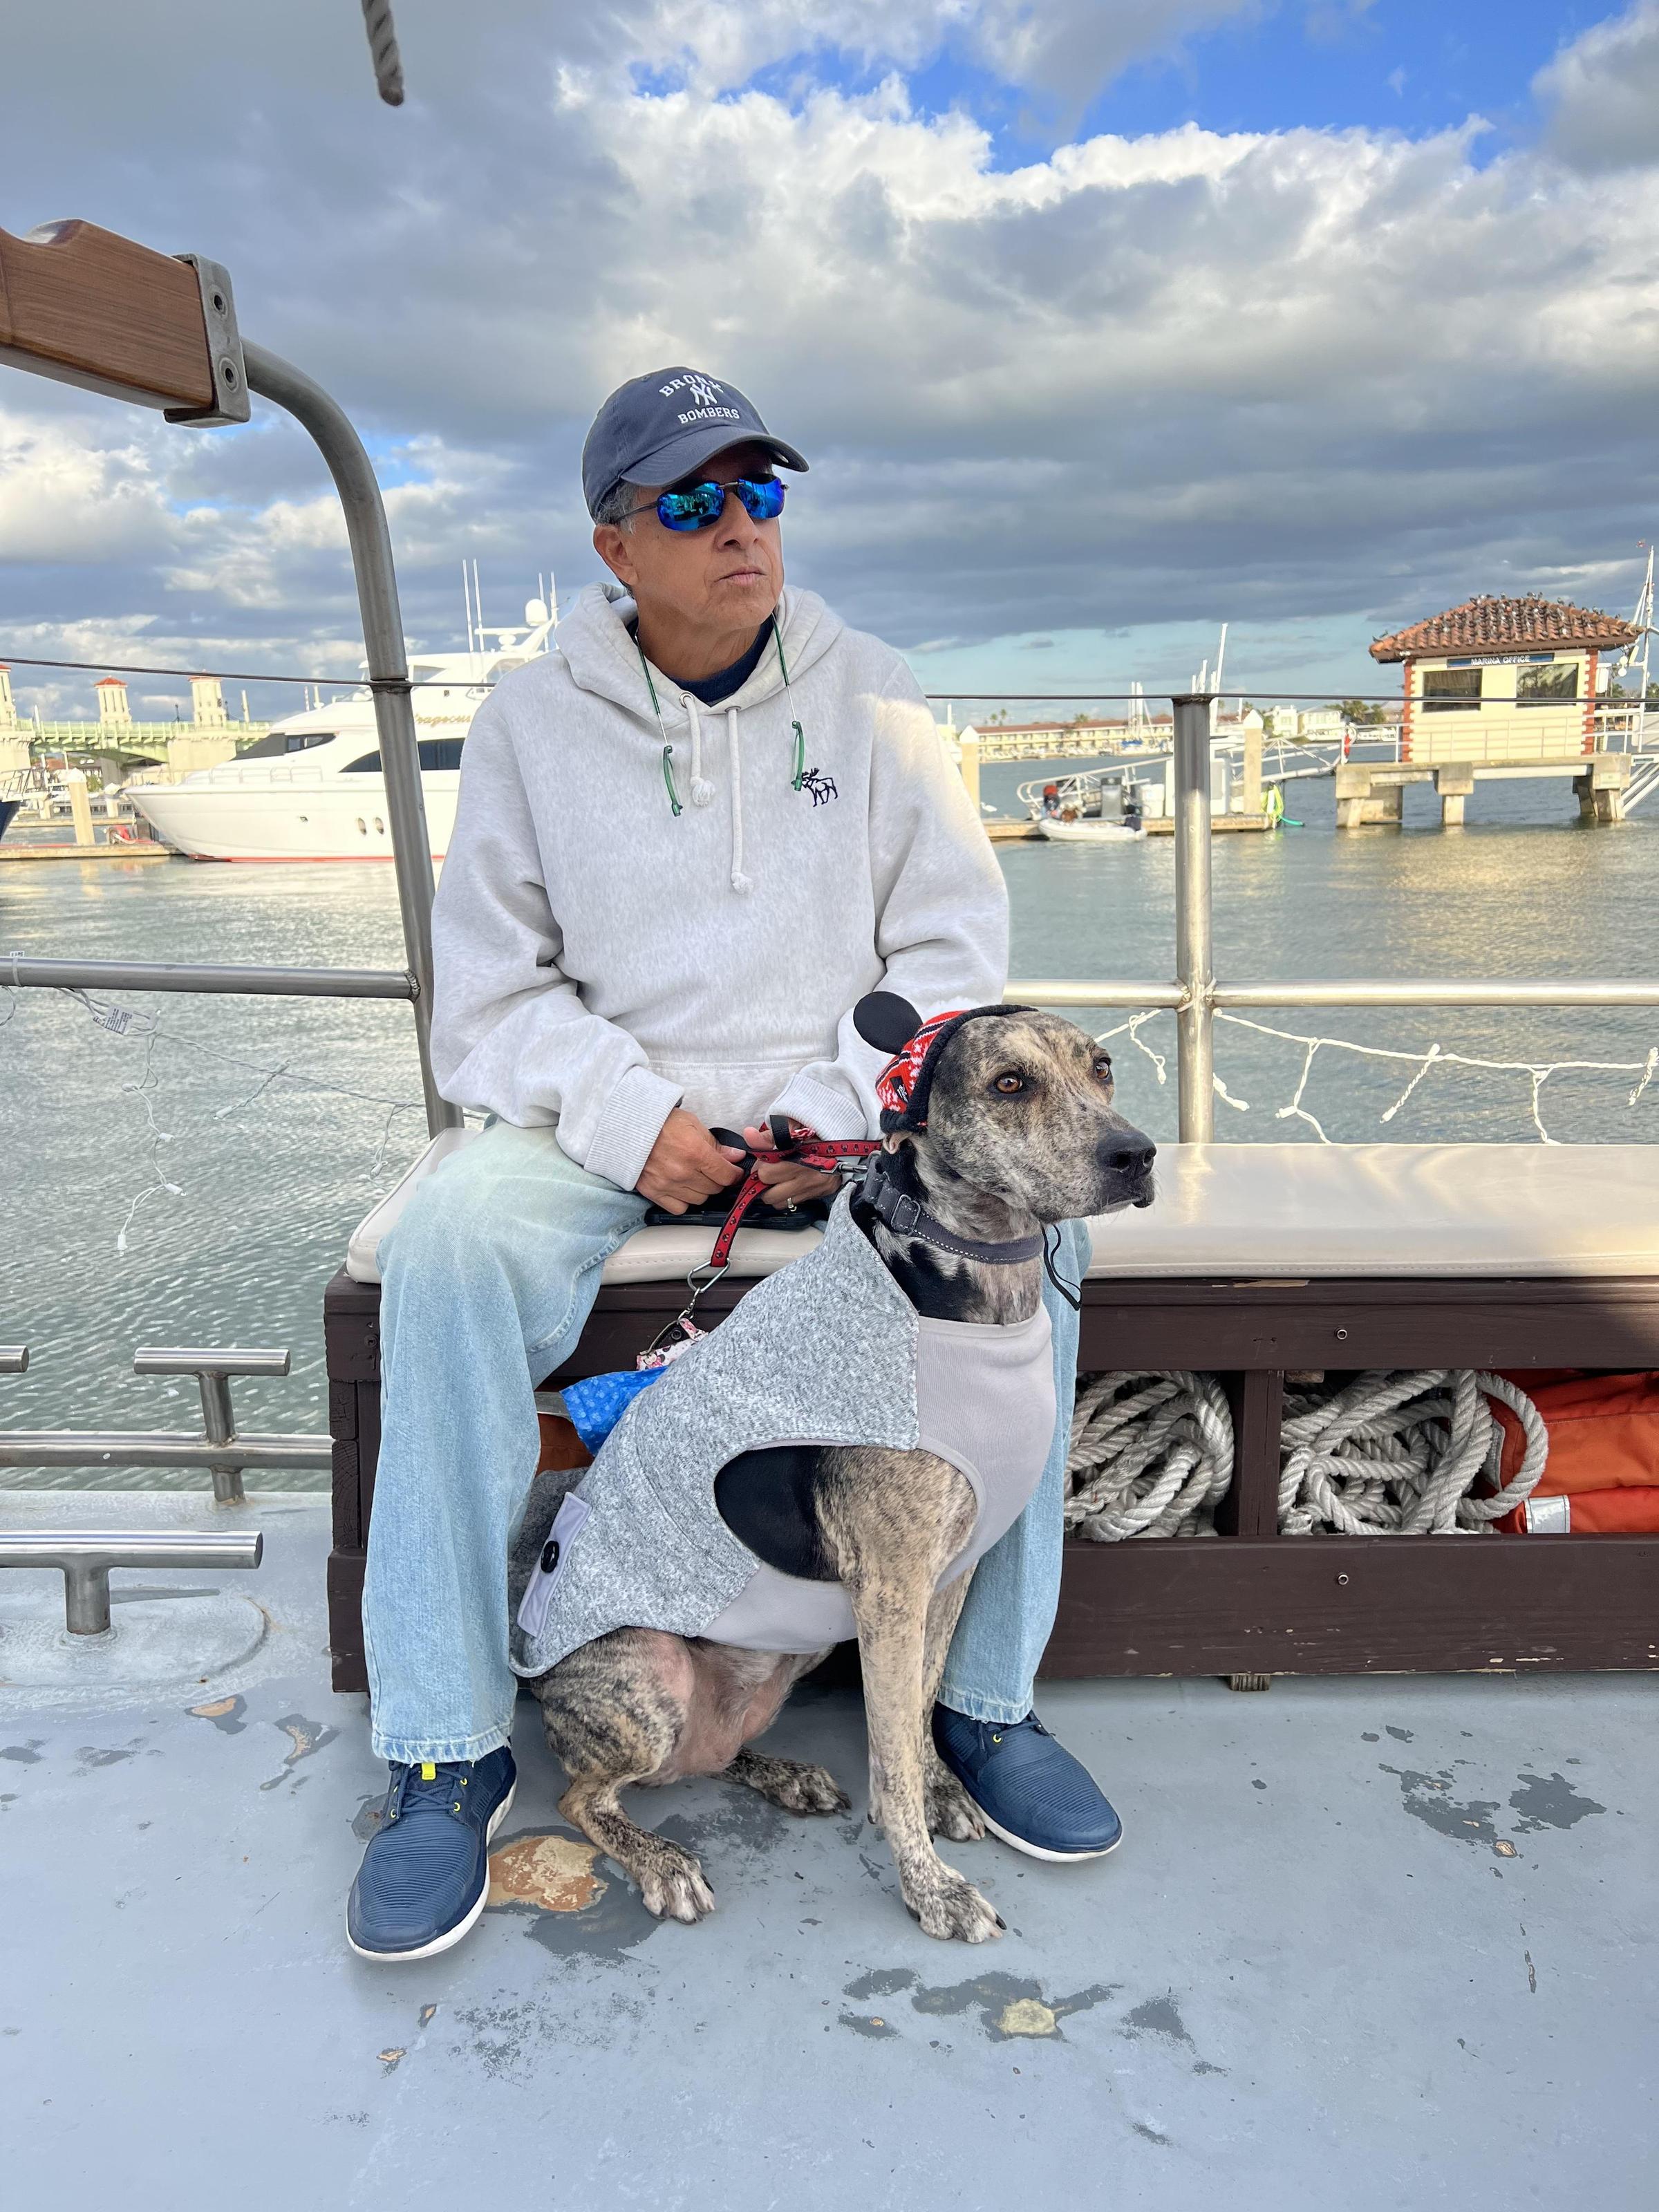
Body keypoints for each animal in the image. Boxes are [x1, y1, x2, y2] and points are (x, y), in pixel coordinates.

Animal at [528, 1013, 1159, 1947]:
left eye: (1104, 1067)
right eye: (1009, 1083)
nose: (1137, 1155)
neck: (964, 1291)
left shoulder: (948, 1574)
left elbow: (920, 1713)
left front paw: (941, 1791)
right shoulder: (891, 1589)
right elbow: (888, 1757)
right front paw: (931, 1886)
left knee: (706, 1756)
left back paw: (782, 1772)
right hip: (648, 1678)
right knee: (581, 1796)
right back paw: (661, 1860)